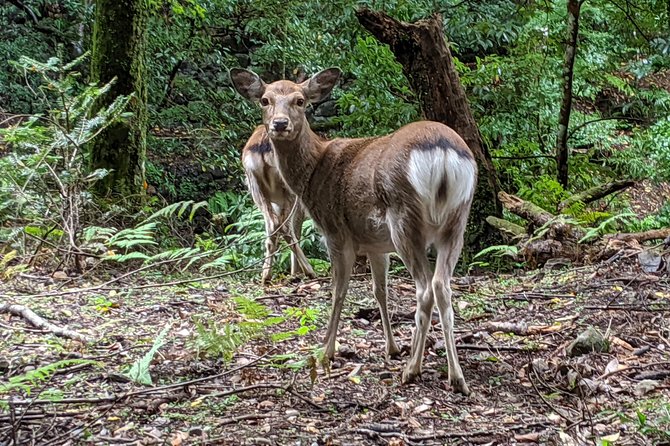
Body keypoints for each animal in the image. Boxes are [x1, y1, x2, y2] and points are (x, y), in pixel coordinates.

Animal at [243, 123, 316, 284]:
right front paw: (295, 273)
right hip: (288, 190)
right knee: (285, 226)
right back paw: (309, 272)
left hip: (256, 187)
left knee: (273, 225)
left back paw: (265, 276)